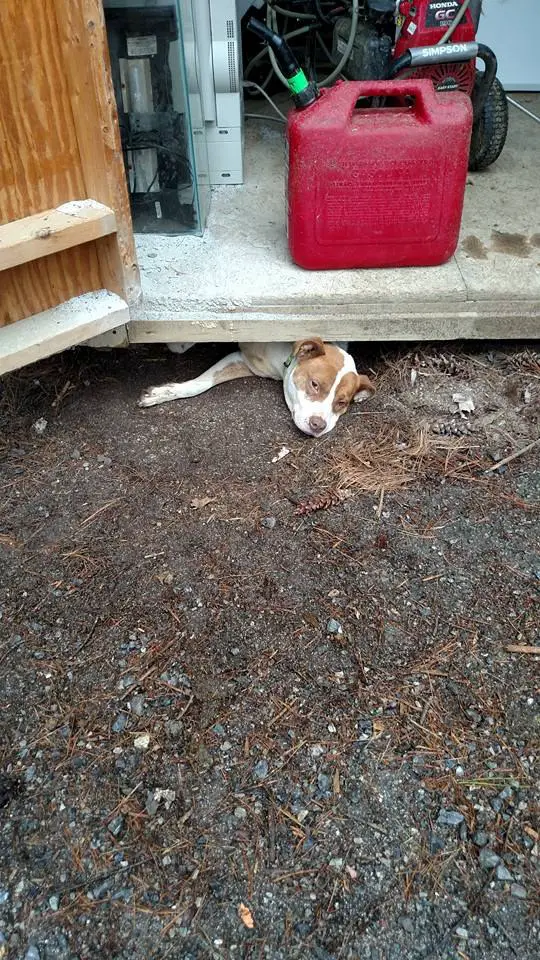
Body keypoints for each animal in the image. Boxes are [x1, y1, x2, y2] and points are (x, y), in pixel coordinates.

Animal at [138, 340, 376, 436]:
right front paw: (162, 393)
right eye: (314, 384)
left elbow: (202, 383)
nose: (318, 425)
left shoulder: (243, 362)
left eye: (342, 402)